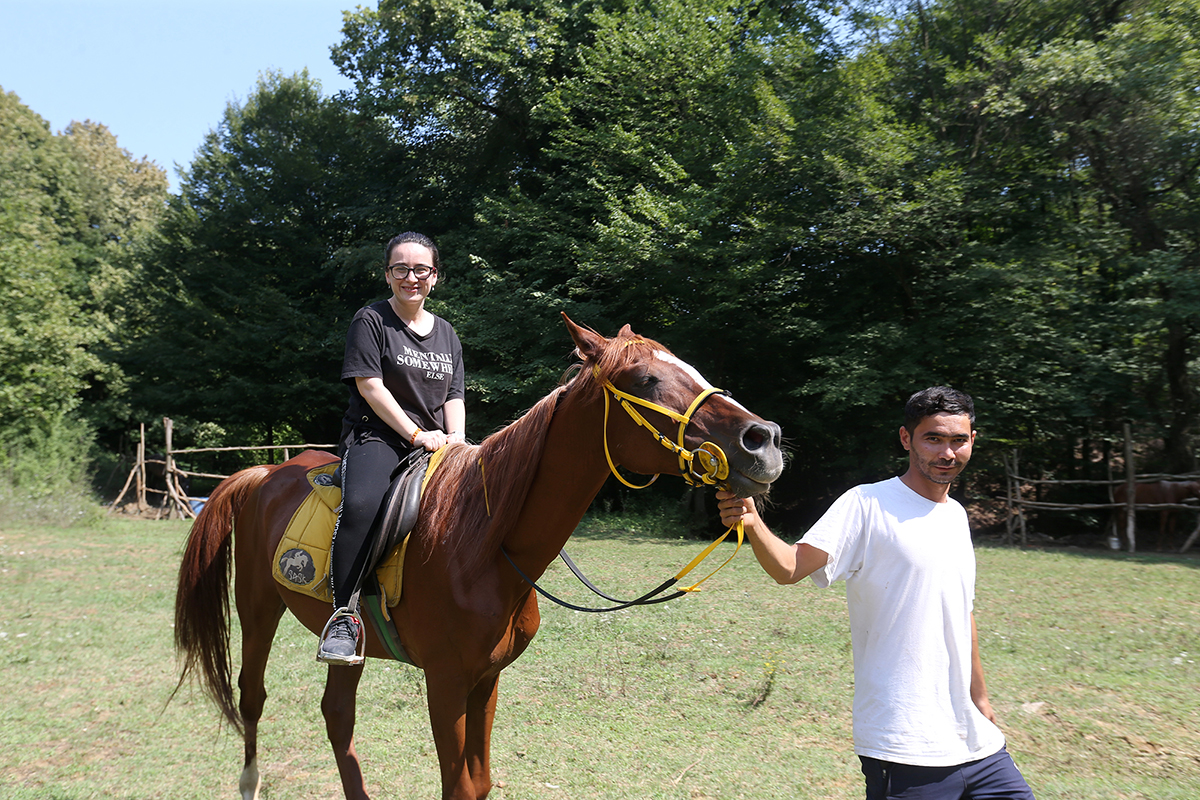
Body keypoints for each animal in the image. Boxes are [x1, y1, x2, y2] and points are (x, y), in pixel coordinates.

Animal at [174, 316, 782, 800]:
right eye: (646, 379)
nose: (765, 438)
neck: (485, 544)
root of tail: (264, 473)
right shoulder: (445, 683)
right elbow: (459, 785)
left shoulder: (487, 679)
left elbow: (479, 781)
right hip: (257, 608)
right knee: (252, 696)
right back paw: (249, 782)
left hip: (347, 642)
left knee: (337, 715)